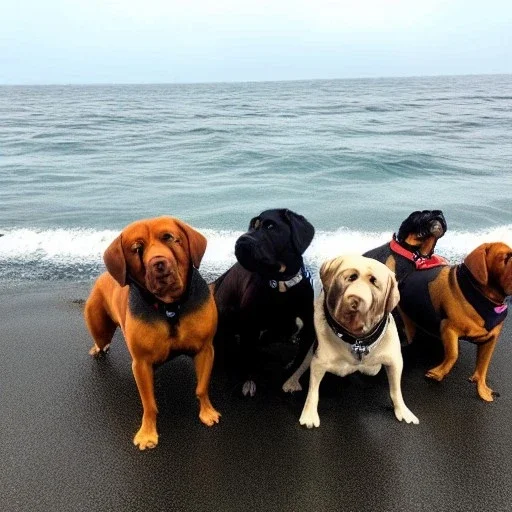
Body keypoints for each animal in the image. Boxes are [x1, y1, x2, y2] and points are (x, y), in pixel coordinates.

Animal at [84, 218, 220, 450]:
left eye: (169, 238)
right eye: (137, 249)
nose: (159, 264)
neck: (170, 307)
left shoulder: (205, 349)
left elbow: (201, 388)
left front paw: (207, 412)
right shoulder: (141, 364)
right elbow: (149, 404)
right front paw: (147, 432)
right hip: (99, 327)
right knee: (101, 342)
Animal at [212, 207, 316, 396]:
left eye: (270, 226)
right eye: (252, 225)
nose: (240, 241)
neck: (280, 284)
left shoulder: (308, 330)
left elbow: (298, 360)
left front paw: (291, 380)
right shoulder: (250, 328)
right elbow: (249, 359)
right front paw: (249, 381)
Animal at [282, 255, 418, 428]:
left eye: (374, 282)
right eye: (350, 277)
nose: (355, 300)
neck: (357, 341)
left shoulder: (394, 361)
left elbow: (395, 389)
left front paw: (402, 410)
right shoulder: (319, 362)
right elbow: (313, 390)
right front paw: (309, 414)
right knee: (301, 365)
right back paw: (292, 381)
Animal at [400, 242, 512, 402]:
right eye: (506, 258)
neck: (483, 297)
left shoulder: (490, 340)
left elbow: (483, 366)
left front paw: (482, 389)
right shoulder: (448, 329)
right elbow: (453, 354)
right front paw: (438, 373)